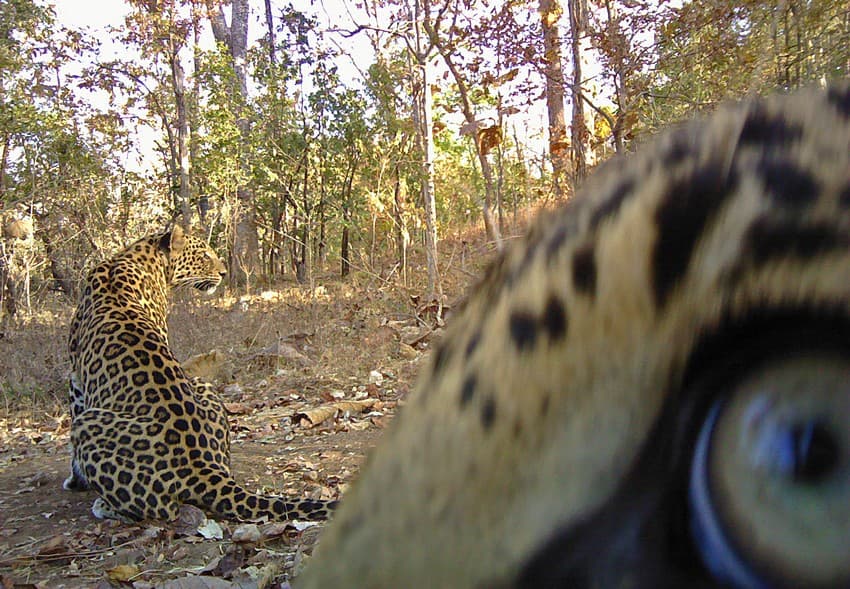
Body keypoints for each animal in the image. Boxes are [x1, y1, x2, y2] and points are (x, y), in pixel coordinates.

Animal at [63, 224, 334, 520]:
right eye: (204, 255)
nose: (224, 273)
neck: (139, 255)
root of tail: (202, 468)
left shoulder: (75, 377)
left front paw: (76, 480)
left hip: (87, 422)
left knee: (165, 510)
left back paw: (104, 505)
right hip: (202, 384)